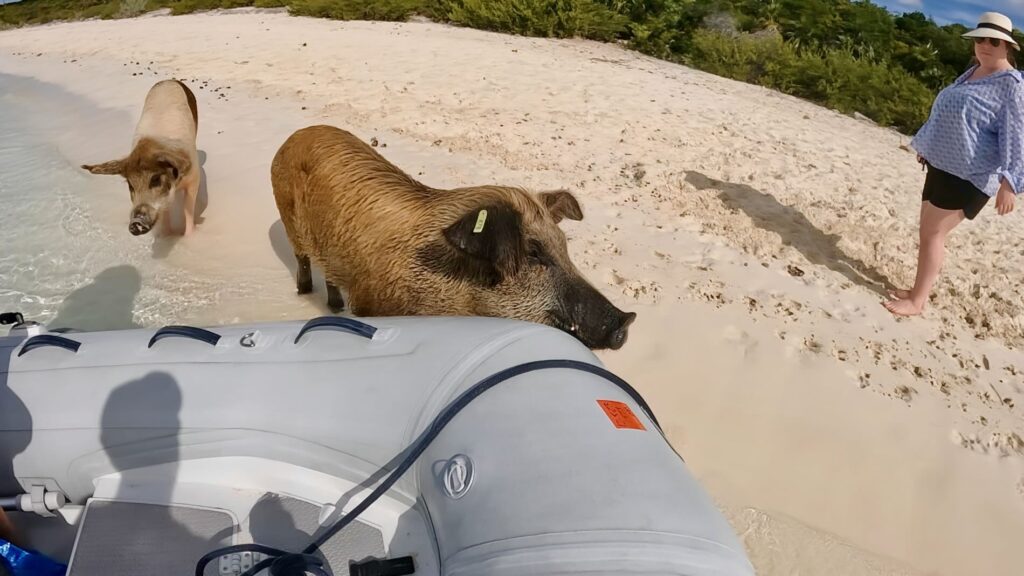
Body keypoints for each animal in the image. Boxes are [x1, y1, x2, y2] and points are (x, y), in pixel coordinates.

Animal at [81, 79, 201, 236]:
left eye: (155, 179)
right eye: (130, 185)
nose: (135, 223)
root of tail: (169, 80)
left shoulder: (194, 178)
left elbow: (188, 209)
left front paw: (189, 236)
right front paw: (167, 235)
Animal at [270, 125, 636, 350]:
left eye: (564, 246)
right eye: (533, 252)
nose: (626, 319)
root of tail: (295, 135)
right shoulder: (370, 303)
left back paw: (334, 307)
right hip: (287, 216)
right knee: (303, 259)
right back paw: (306, 293)